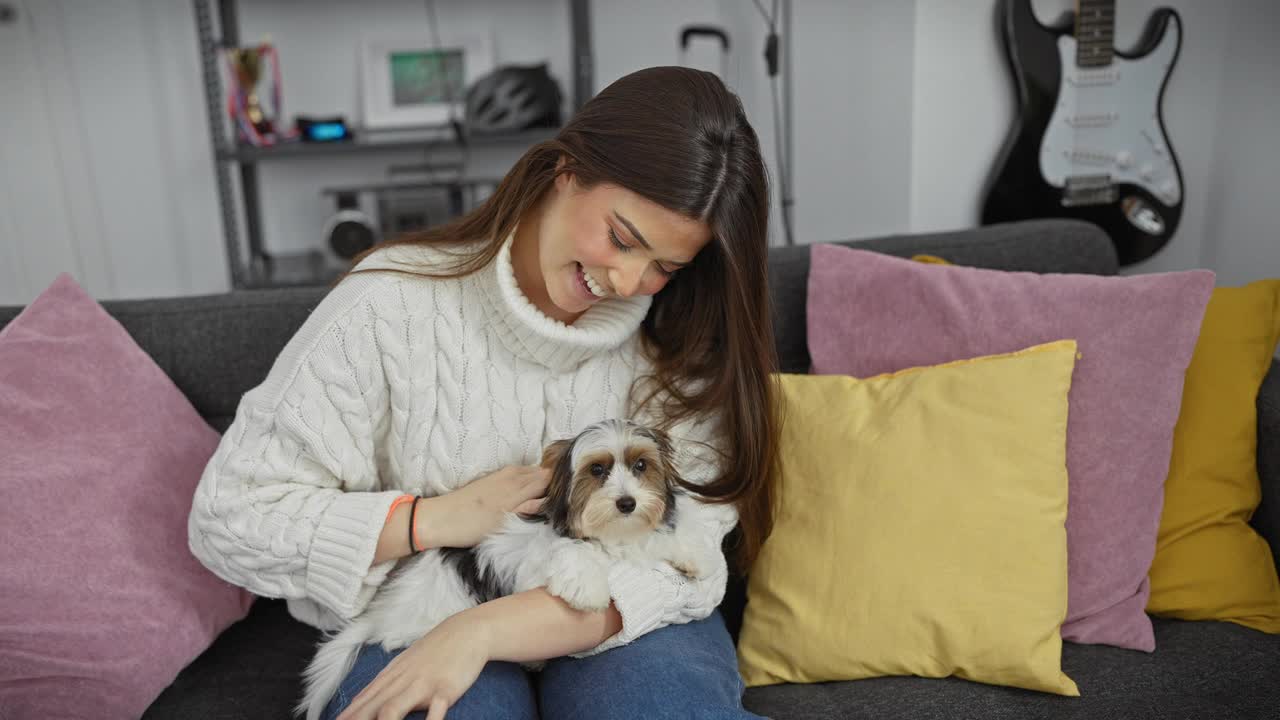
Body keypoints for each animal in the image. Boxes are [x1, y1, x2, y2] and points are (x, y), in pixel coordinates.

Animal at [299, 417, 721, 712]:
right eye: (597, 470)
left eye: (641, 466)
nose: (627, 503)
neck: (615, 533)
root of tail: (382, 616)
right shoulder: (547, 546)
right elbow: (574, 552)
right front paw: (588, 589)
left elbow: (666, 533)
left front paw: (697, 555)